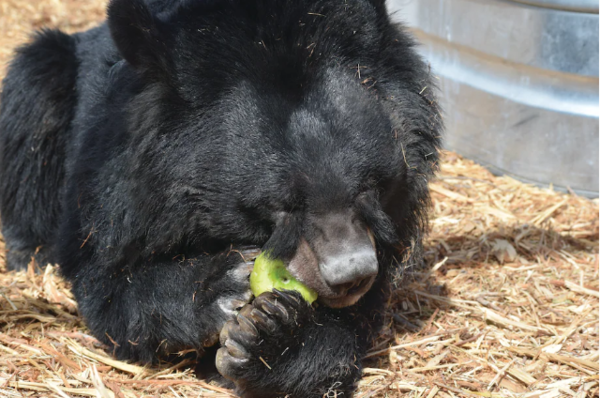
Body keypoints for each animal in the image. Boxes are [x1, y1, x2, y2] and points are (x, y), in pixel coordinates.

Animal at [0, 0, 440, 394]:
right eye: (281, 205)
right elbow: (106, 281)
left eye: (369, 188)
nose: (351, 275)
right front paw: (222, 284)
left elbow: (352, 323)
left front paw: (269, 337)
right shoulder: (114, 184)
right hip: (45, 73)